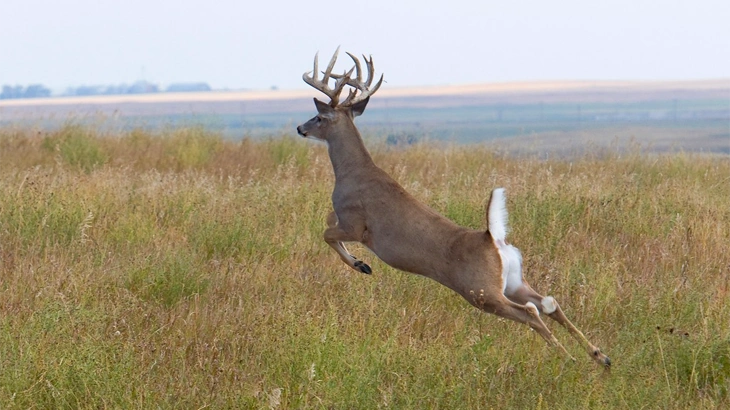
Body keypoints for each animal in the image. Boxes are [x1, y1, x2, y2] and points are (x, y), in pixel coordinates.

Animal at [296, 48, 611, 368]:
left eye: (319, 116)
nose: (300, 128)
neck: (353, 172)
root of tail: (492, 238)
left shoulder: (356, 224)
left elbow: (326, 232)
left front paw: (361, 265)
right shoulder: (345, 220)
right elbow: (327, 222)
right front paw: (361, 263)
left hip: (481, 291)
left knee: (532, 313)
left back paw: (570, 360)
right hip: (512, 282)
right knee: (550, 303)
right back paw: (600, 356)